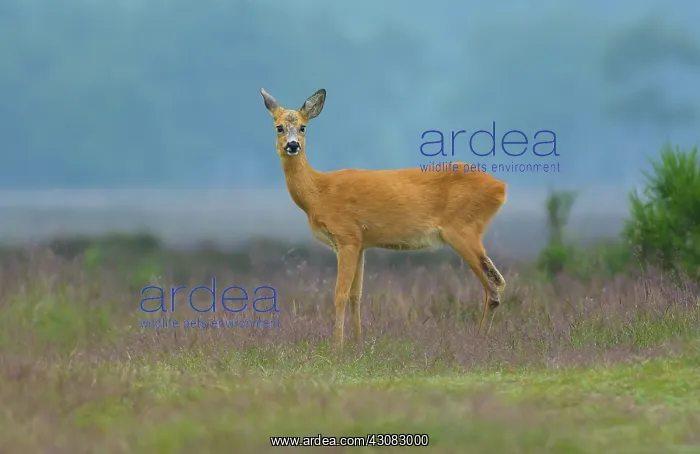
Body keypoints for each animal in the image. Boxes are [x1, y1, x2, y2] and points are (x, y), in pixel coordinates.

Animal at [260, 87, 508, 351]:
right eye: (279, 127)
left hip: (463, 229)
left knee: (493, 286)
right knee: (497, 282)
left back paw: (478, 340)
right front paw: (358, 342)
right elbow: (355, 295)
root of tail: (501, 188)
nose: (292, 145)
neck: (318, 193)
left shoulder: (347, 236)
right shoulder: (360, 244)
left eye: (303, 127)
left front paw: (337, 346)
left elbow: (339, 294)